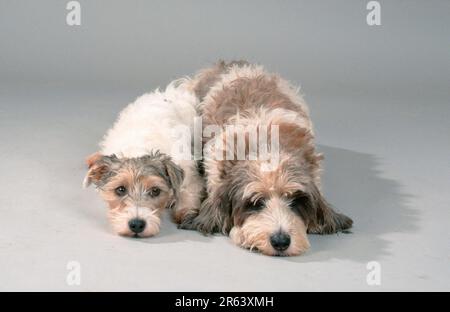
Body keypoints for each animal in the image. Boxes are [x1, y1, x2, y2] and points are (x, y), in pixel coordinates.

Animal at [83, 81, 204, 238]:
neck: (139, 147)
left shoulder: (189, 174)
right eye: (120, 189)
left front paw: (185, 212)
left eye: (155, 191)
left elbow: (188, 191)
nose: (136, 225)